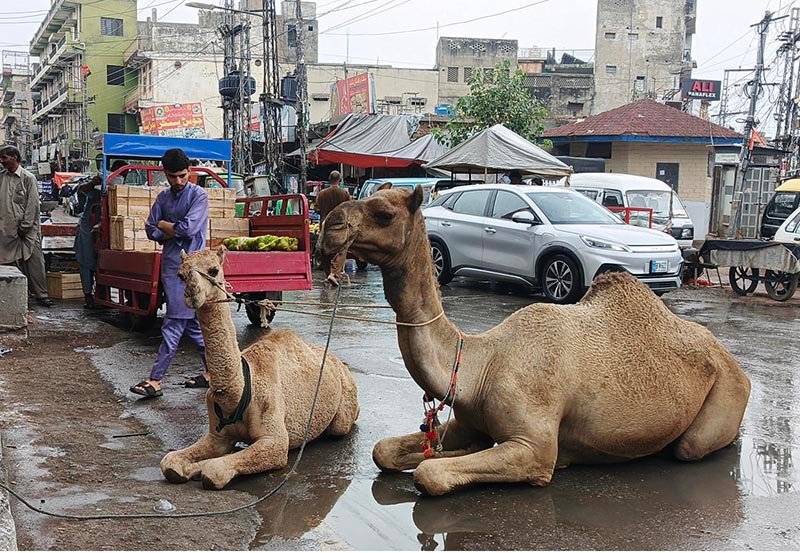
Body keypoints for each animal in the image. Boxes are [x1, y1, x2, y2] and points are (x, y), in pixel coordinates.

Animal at [160, 247, 359, 490]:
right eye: (180, 274)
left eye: (213, 270)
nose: (191, 292)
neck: (239, 390)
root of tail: (338, 362)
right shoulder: (217, 436)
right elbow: (169, 462)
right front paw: (188, 468)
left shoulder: (275, 441)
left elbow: (214, 469)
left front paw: (200, 470)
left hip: (344, 409)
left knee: (341, 425)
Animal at [318, 185, 751, 496]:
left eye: (383, 213)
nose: (329, 225)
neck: (481, 365)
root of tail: (729, 358)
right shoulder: (468, 421)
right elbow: (384, 450)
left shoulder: (535, 447)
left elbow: (431, 473)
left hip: (724, 396)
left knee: (690, 446)